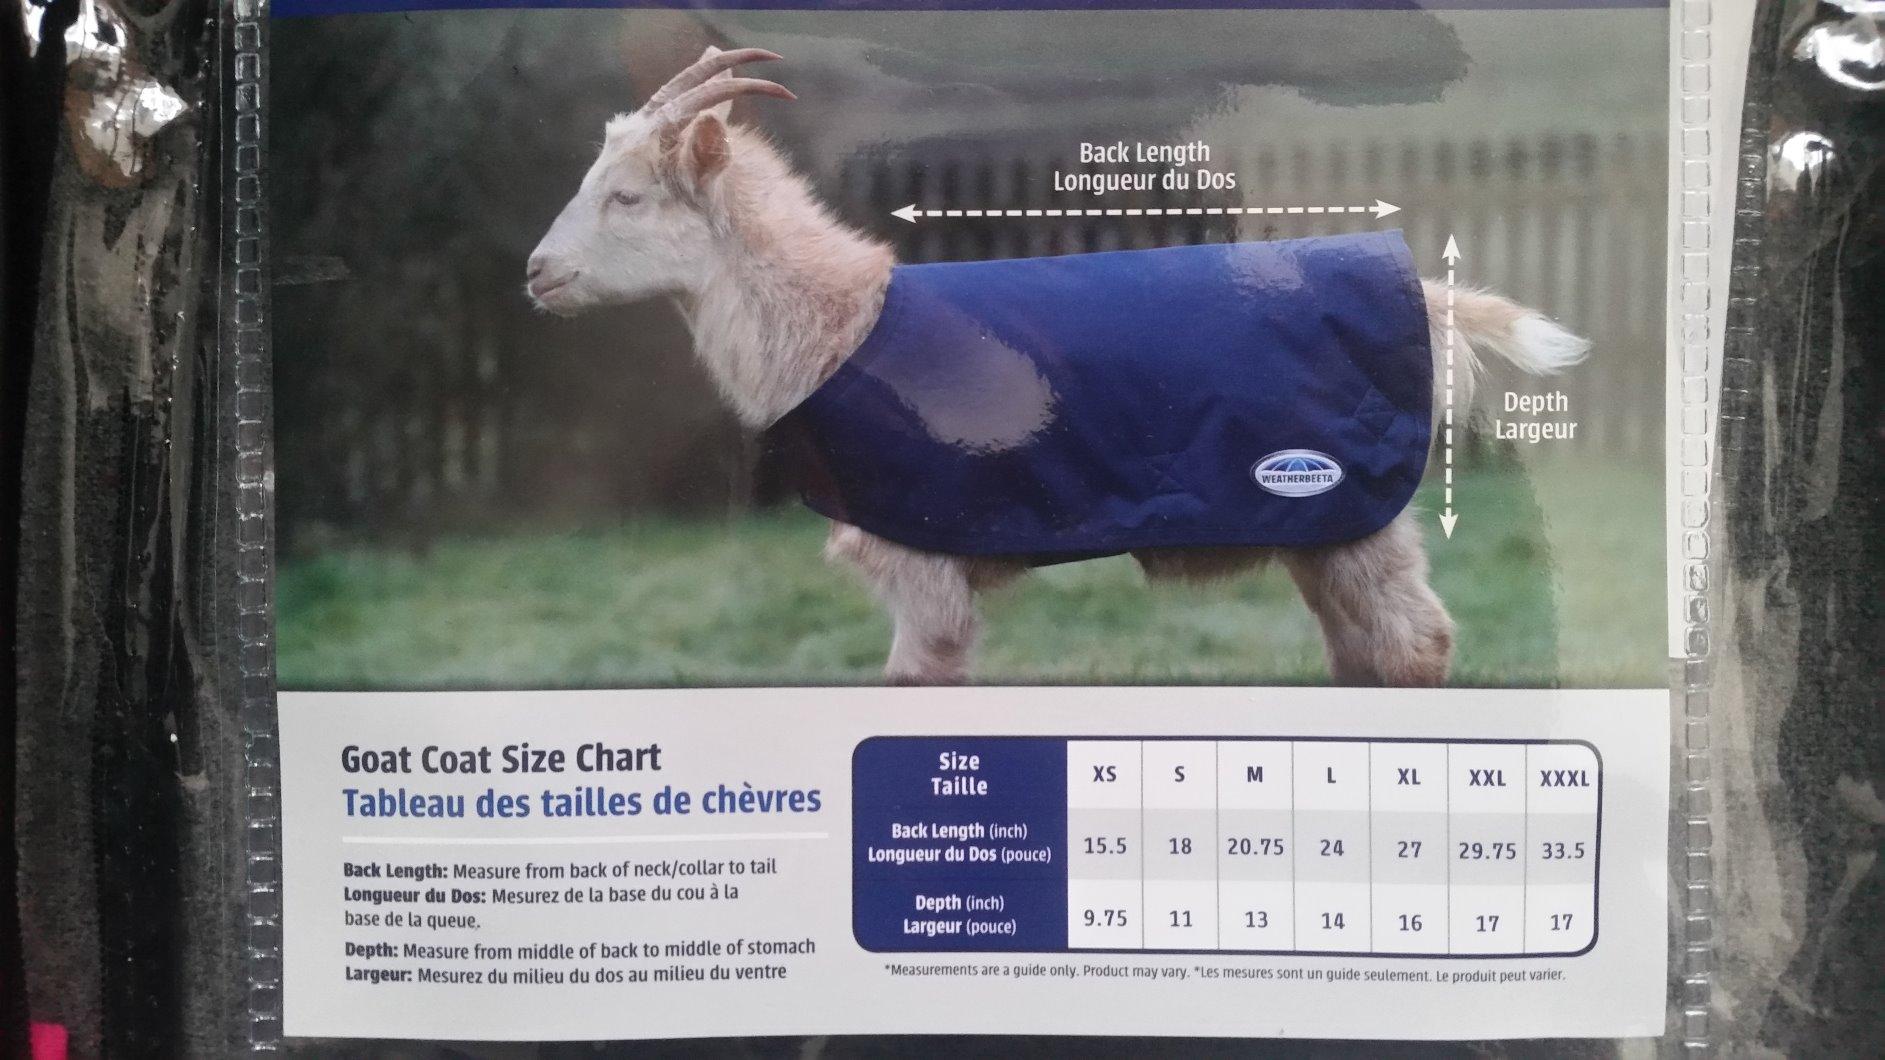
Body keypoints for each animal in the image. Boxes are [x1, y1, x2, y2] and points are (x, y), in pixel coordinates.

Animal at [527, 48, 1590, 687]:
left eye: (626, 197)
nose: (537, 272)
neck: (842, 323)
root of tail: (1423, 291)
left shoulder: (921, 558)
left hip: (1350, 508)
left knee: (1413, 647)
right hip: (1328, 524)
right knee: (1362, 651)